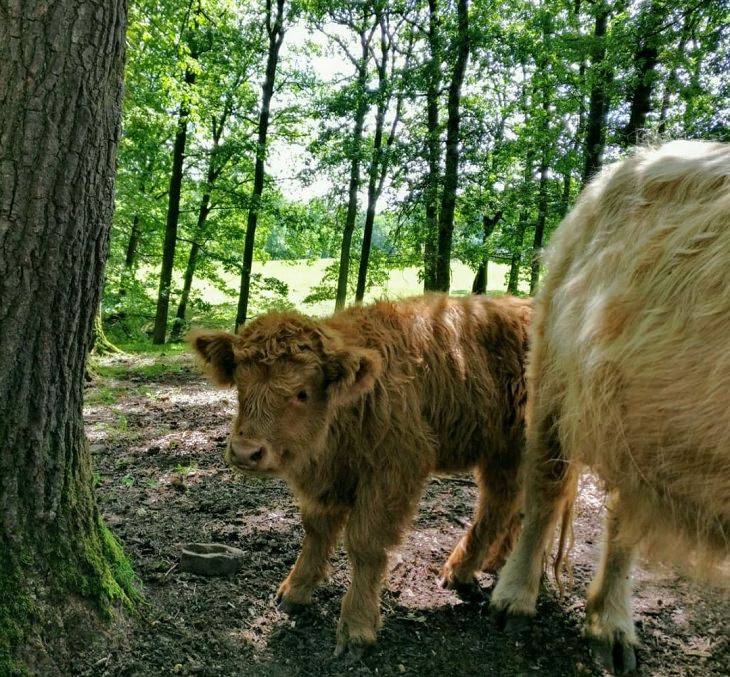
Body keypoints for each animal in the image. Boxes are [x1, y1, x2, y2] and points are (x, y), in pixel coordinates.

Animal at [192, 294, 528, 656]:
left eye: (302, 393)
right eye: (241, 384)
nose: (245, 451)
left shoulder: (393, 473)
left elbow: (365, 545)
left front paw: (356, 628)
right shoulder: (327, 480)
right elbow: (317, 531)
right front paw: (294, 592)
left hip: (513, 451)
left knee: (500, 506)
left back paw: (461, 573)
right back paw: (495, 563)